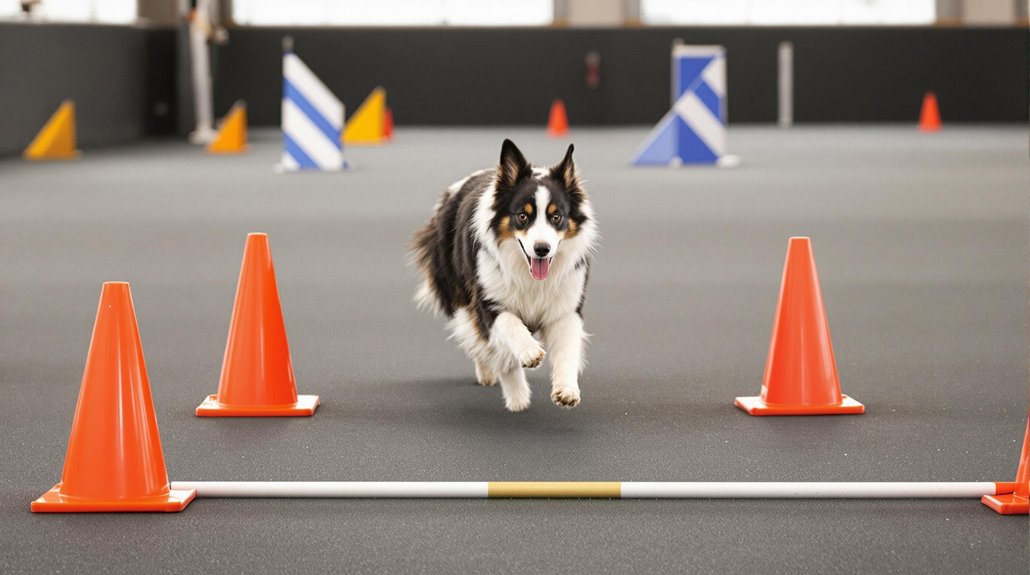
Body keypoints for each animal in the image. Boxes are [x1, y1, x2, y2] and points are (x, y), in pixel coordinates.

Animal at [412, 140, 597, 412]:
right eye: (522, 215)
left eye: (556, 216)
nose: (542, 249)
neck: (530, 275)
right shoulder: (487, 302)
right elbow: (509, 326)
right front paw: (528, 357)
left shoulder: (566, 308)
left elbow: (567, 349)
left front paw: (566, 390)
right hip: (457, 292)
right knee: (483, 342)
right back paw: (504, 386)